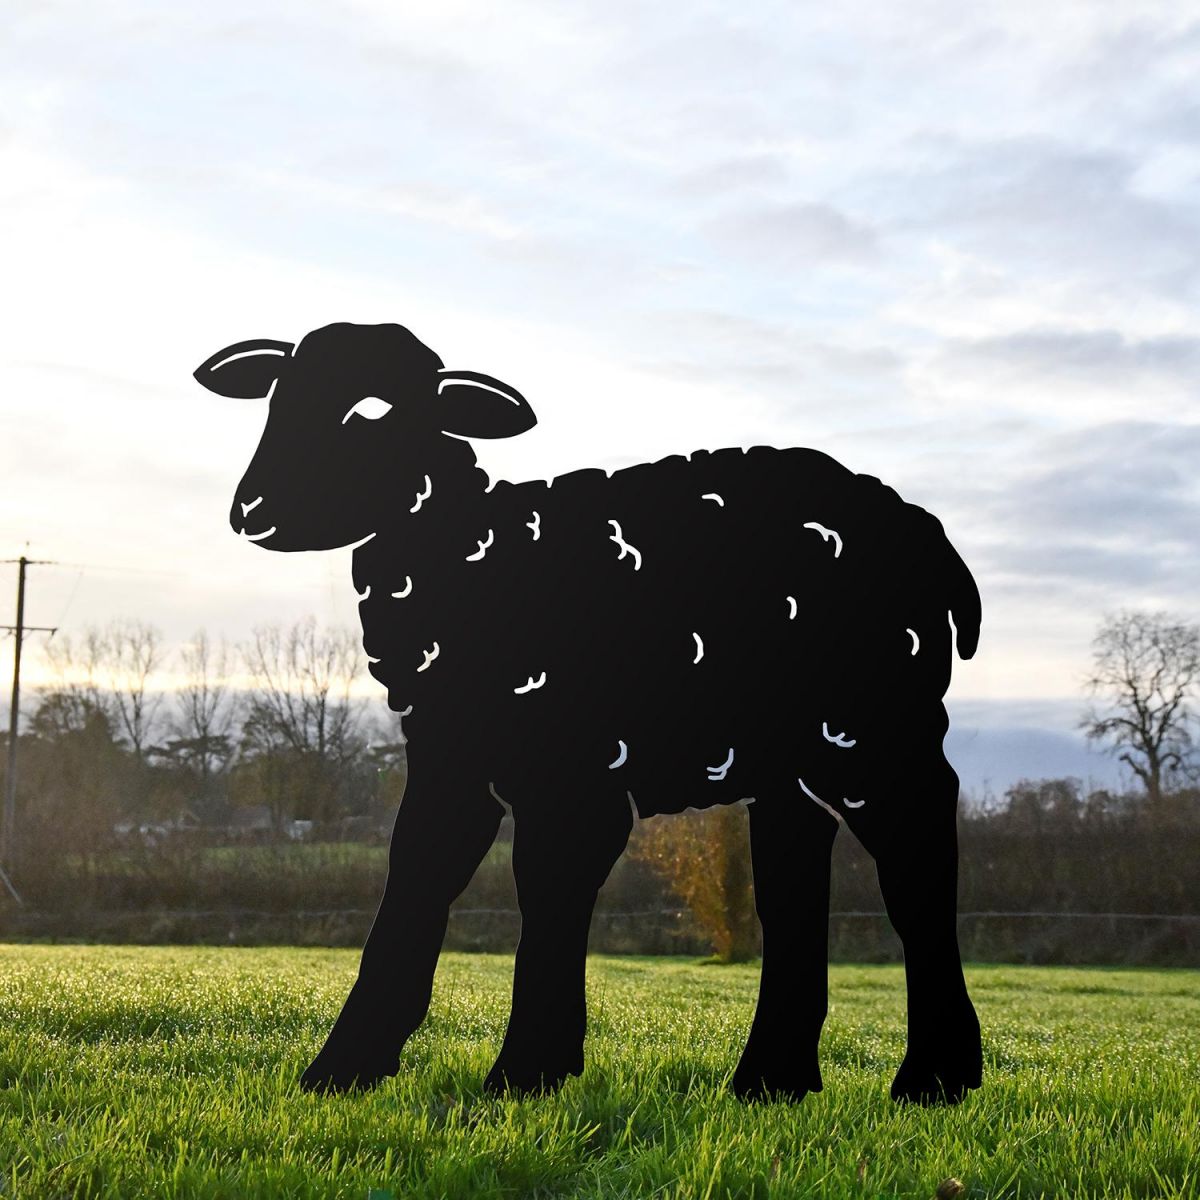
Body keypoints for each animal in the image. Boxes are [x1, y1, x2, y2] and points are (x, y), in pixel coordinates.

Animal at [194, 321, 984, 1105]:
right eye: (275, 401)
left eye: (373, 412)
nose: (251, 511)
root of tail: (932, 536)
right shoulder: (455, 756)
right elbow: (417, 878)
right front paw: (347, 1067)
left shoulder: (570, 762)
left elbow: (546, 889)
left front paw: (525, 1072)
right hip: (796, 752)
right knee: (793, 876)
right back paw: (771, 1081)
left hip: (874, 723)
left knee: (917, 857)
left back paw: (934, 1077)